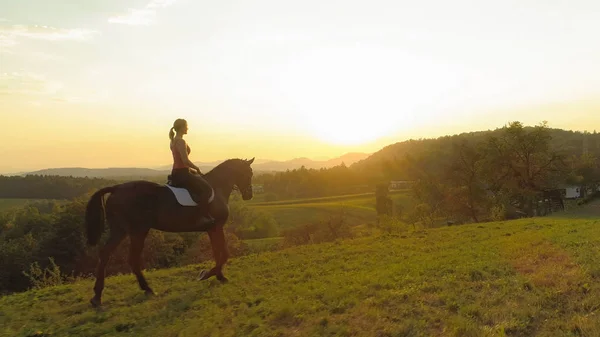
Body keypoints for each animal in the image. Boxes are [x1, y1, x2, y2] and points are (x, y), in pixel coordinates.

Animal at [83, 156, 254, 306]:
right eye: (249, 173)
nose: (249, 195)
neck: (217, 187)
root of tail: (116, 188)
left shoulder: (212, 229)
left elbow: (218, 252)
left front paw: (218, 276)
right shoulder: (216, 226)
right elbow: (224, 253)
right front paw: (208, 274)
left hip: (120, 230)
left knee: (105, 253)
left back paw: (97, 297)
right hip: (138, 231)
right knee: (132, 259)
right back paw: (147, 289)